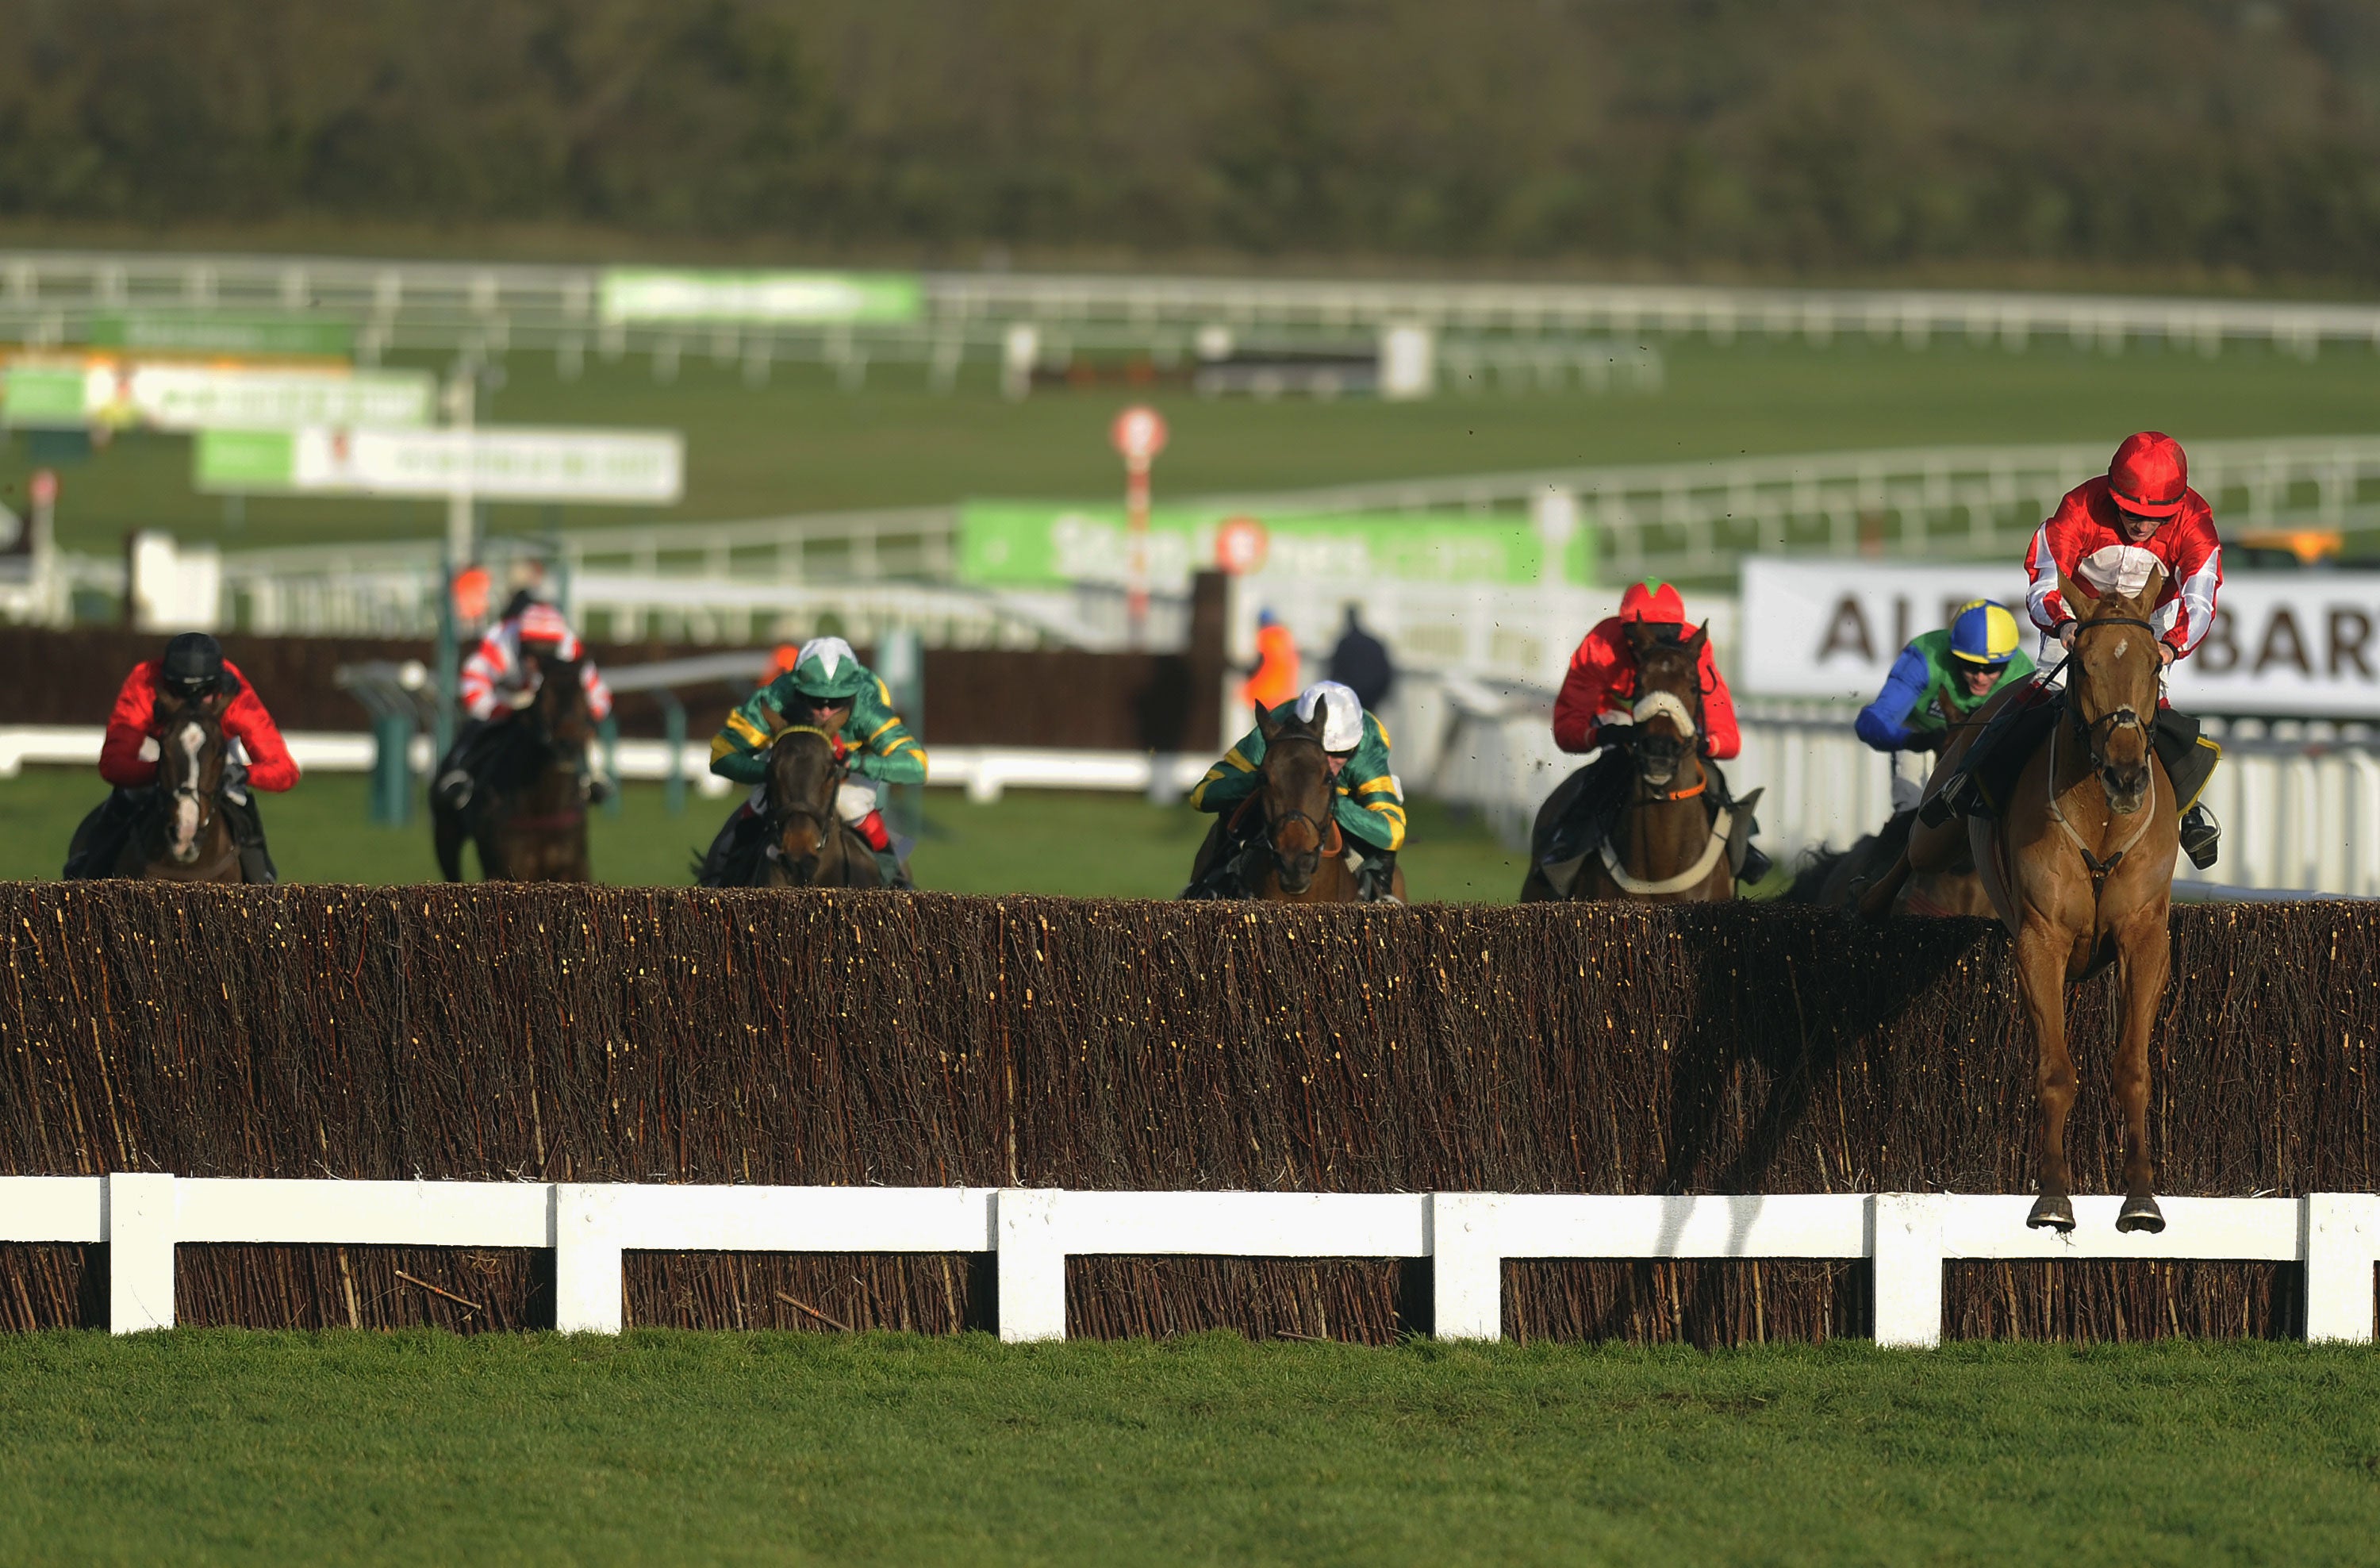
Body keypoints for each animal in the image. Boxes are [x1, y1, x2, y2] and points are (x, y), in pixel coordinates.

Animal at [443, 651, 600, 885]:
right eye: (544, 696)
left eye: (583, 697)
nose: (568, 746)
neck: (543, 806)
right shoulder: (503, 869)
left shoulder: (574, 867)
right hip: (446, 838)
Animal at [1866, 563, 2180, 1237]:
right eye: (2083, 663)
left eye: (2153, 665)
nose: (2125, 777)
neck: (2102, 823)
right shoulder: (2041, 938)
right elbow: (2056, 1072)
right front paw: (2054, 1198)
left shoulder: (2145, 937)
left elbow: (2133, 1067)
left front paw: (2141, 1197)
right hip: (1939, 825)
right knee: (1912, 848)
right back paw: (1870, 903)